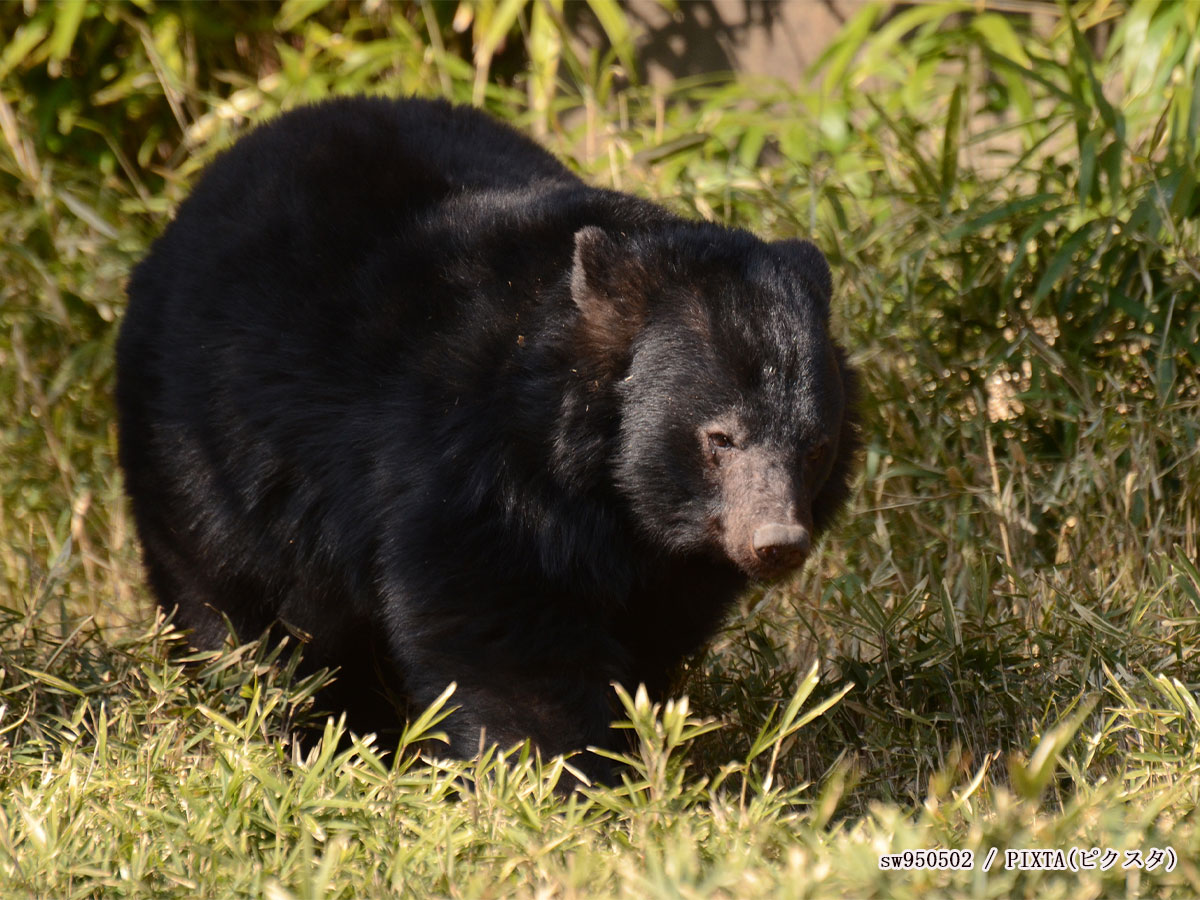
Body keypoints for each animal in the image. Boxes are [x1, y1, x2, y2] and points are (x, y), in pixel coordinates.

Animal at [114, 95, 864, 777]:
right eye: (720, 438)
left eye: (814, 447)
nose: (776, 543)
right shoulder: (470, 465)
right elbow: (498, 624)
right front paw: (558, 773)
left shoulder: (674, 557)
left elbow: (651, 630)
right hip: (203, 458)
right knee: (236, 611)